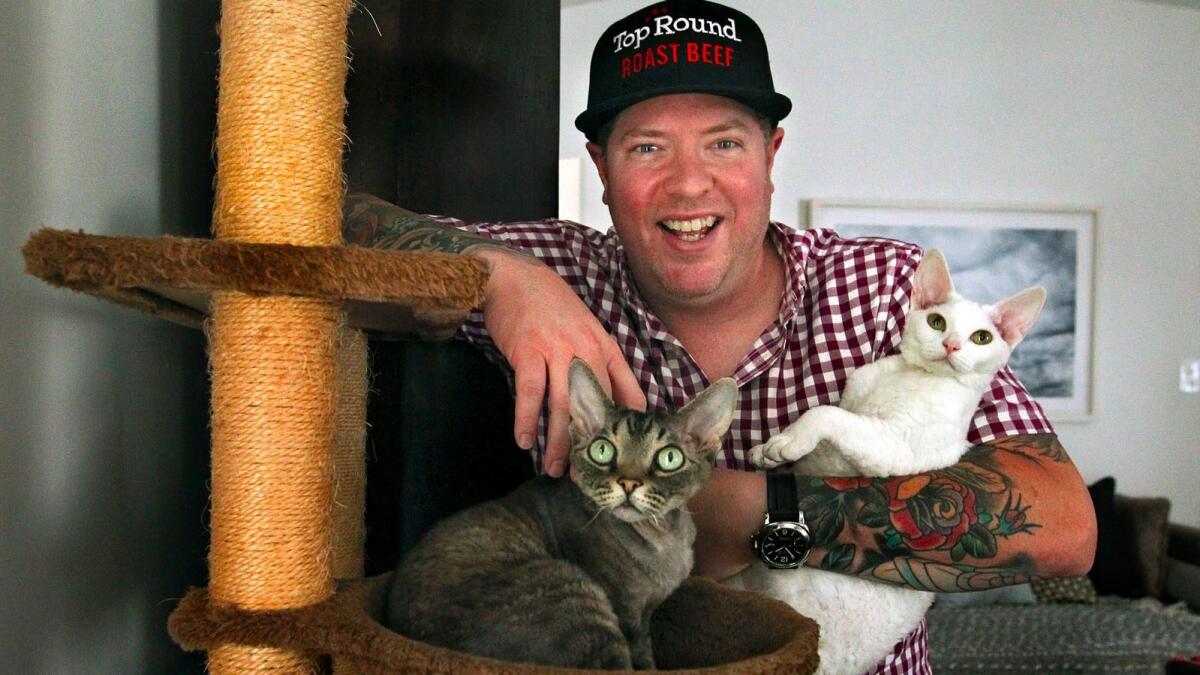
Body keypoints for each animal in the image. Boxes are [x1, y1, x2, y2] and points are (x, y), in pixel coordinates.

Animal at [388, 357, 734, 667]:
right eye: (602, 450)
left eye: (669, 458)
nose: (628, 482)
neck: (663, 537)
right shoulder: (628, 617)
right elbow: (643, 661)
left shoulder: (644, 617)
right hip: (572, 593)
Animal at [724, 249, 1046, 672]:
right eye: (937, 322)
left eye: (982, 338)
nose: (952, 345)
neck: (910, 375)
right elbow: (823, 421)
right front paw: (773, 445)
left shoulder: (896, 447)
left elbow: (826, 413)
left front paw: (786, 444)